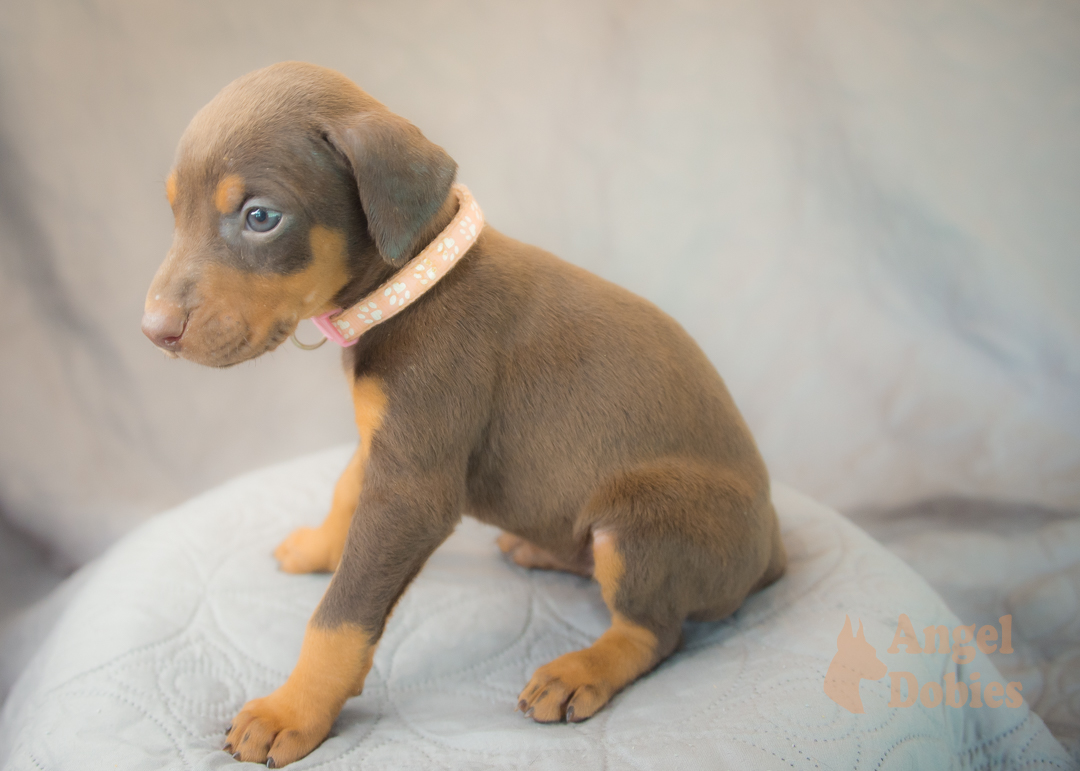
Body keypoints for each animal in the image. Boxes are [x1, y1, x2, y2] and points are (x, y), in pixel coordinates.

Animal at [141, 63, 786, 764]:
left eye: (261, 217)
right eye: (175, 211)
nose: (153, 330)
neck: (410, 289)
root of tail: (771, 553)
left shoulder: (412, 492)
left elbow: (341, 613)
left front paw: (294, 710)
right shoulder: (385, 443)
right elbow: (344, 490)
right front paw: (317, 547)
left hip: (643, 520)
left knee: (653, 631)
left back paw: (581, 668)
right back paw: (542, 551)